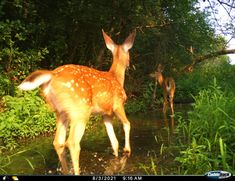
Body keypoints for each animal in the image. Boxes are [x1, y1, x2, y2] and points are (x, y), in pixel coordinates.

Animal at [18, 30, 136, 175]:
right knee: (72, 142)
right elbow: (127, 124)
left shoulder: (106, 114)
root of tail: (52, 75)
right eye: (129, 53)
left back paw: (65, 171)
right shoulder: (118, 104)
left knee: (58, 142)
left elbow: (114, 142)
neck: (117, 77)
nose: (130, 64)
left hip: (61, 112)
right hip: (81, 110)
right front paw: (127, 150)